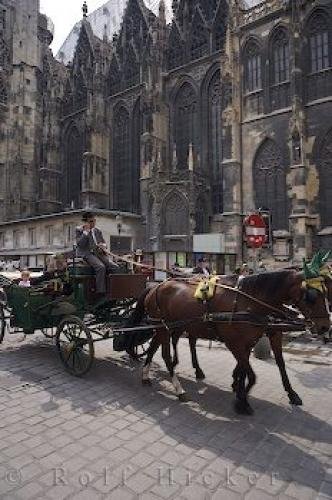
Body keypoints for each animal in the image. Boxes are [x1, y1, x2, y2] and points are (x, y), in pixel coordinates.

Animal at [131, 270, 330, 414]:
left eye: (326, 293)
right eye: (312, 296)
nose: (325, 327)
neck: (249, 301)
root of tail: (155, 286)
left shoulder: (251, 341)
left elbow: (254, 368)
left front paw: (240, 389)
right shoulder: (234, 343)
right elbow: (251, 374)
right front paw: (242, 401)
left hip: (168, 327)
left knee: (155, 347)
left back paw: (147, 375)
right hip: (164, 327)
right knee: (165, 353)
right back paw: (178, 388)